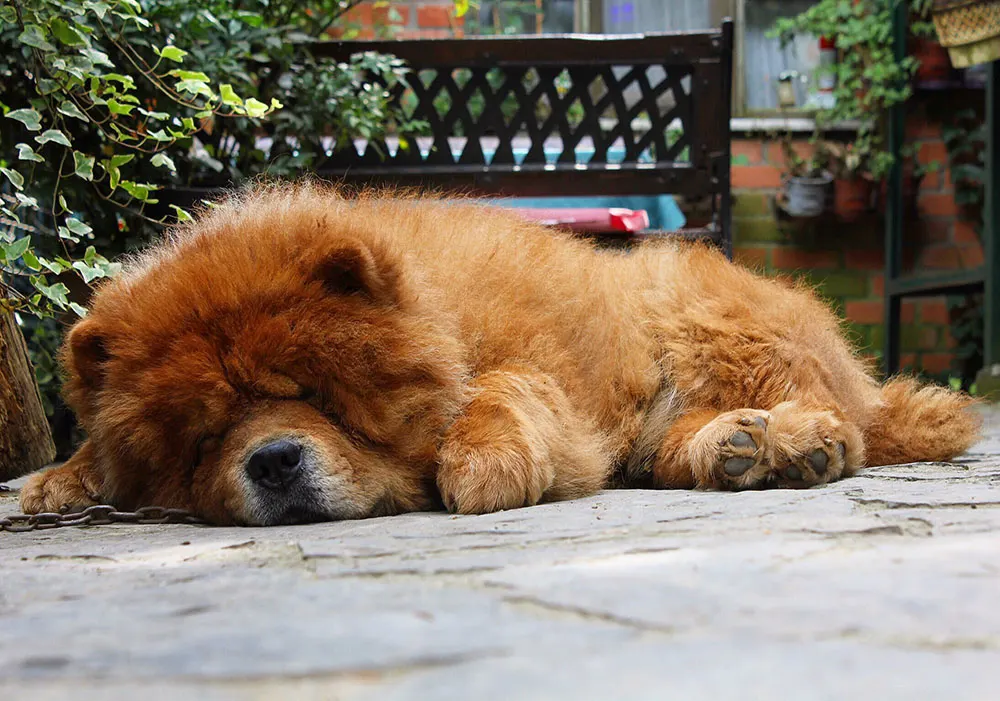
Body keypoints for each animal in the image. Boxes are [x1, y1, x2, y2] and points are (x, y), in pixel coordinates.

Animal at [19, 183, 980, 524]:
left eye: (321, 398)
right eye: (206, 434)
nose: (274, 460)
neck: (438, 314)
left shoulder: (541, 376)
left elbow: (499, 389)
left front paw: (483, 459)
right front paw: (62, 477)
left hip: (699, 311)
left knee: (850, 424)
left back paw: (800, 438)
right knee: (681, 448)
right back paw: (740, 447)